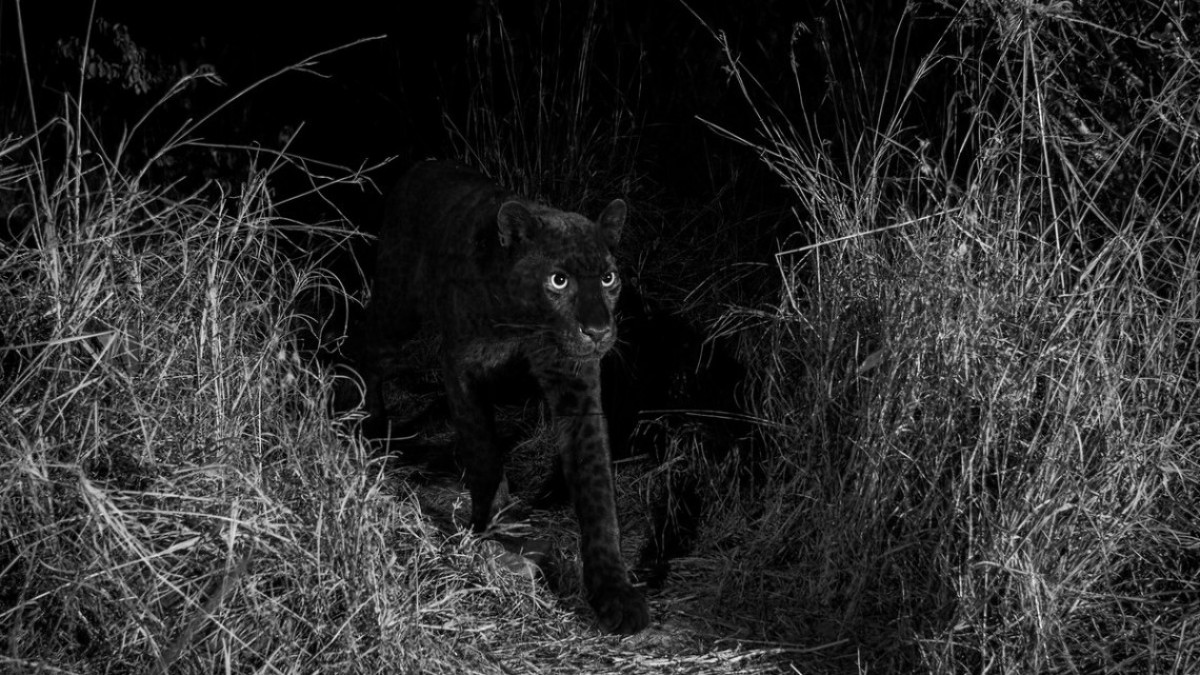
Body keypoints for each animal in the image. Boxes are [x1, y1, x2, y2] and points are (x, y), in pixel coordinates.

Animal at [355, 159, 650, 634]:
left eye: (608, 278)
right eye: (558, 280)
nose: (598, 331)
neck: (526, 323)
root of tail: (421, 165)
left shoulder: (576, 383)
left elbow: (596, 489)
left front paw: (614, 593)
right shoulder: (461, 365)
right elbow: (483, 448)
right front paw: (493, 527)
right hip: (399, 310)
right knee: (365, 342)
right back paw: (367, 422)